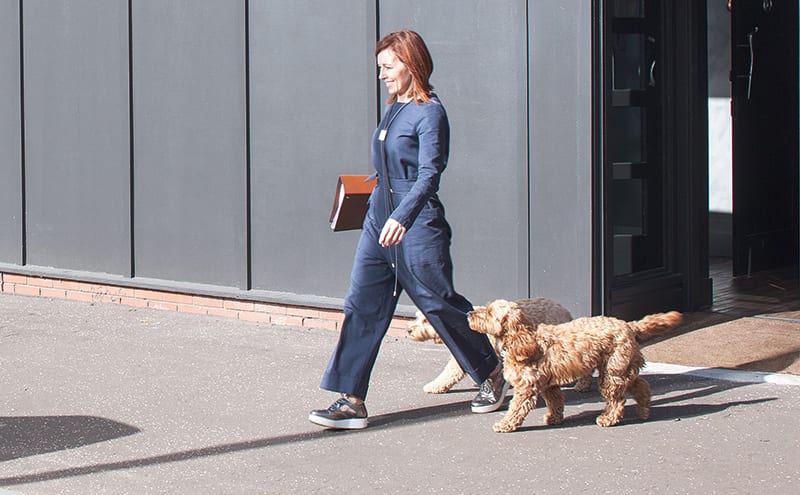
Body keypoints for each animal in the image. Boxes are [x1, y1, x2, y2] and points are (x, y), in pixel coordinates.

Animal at [406, 298, 588, 396]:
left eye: (424, 320)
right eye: (416, 318)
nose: (408, 330)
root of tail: (565, 310)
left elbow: (449, 372)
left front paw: (435, 386)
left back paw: (582, 385)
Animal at [468, 298, 680, 434]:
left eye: (489, 313)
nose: (469, 313)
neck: (524, 339)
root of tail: (628, 325)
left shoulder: (526, 388)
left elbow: (516, 409)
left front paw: (505, 425)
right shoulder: (549, 385)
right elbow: (555, 402)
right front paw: (554, 418)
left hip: (611, 372)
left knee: (617, 400)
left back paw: (608, 419)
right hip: (621, 369)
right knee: (641, 386)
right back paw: (644, 409)